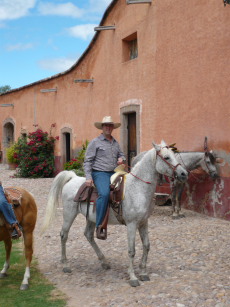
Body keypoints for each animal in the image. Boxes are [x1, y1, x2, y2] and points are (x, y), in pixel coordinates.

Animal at [42, 141, 188, 288]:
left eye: (174, 154)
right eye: (167, 157)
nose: (184, 173)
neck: (137, 188)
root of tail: (73, 177)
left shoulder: (143, 222)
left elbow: (146, 246)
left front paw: (143, 272)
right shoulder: (132, 224)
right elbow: (131, 250)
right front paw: (133, 277)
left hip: (91, 218)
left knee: (88, 235)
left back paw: (104, 262)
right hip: (69, 213)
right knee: (64, 235)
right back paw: (65, 265)